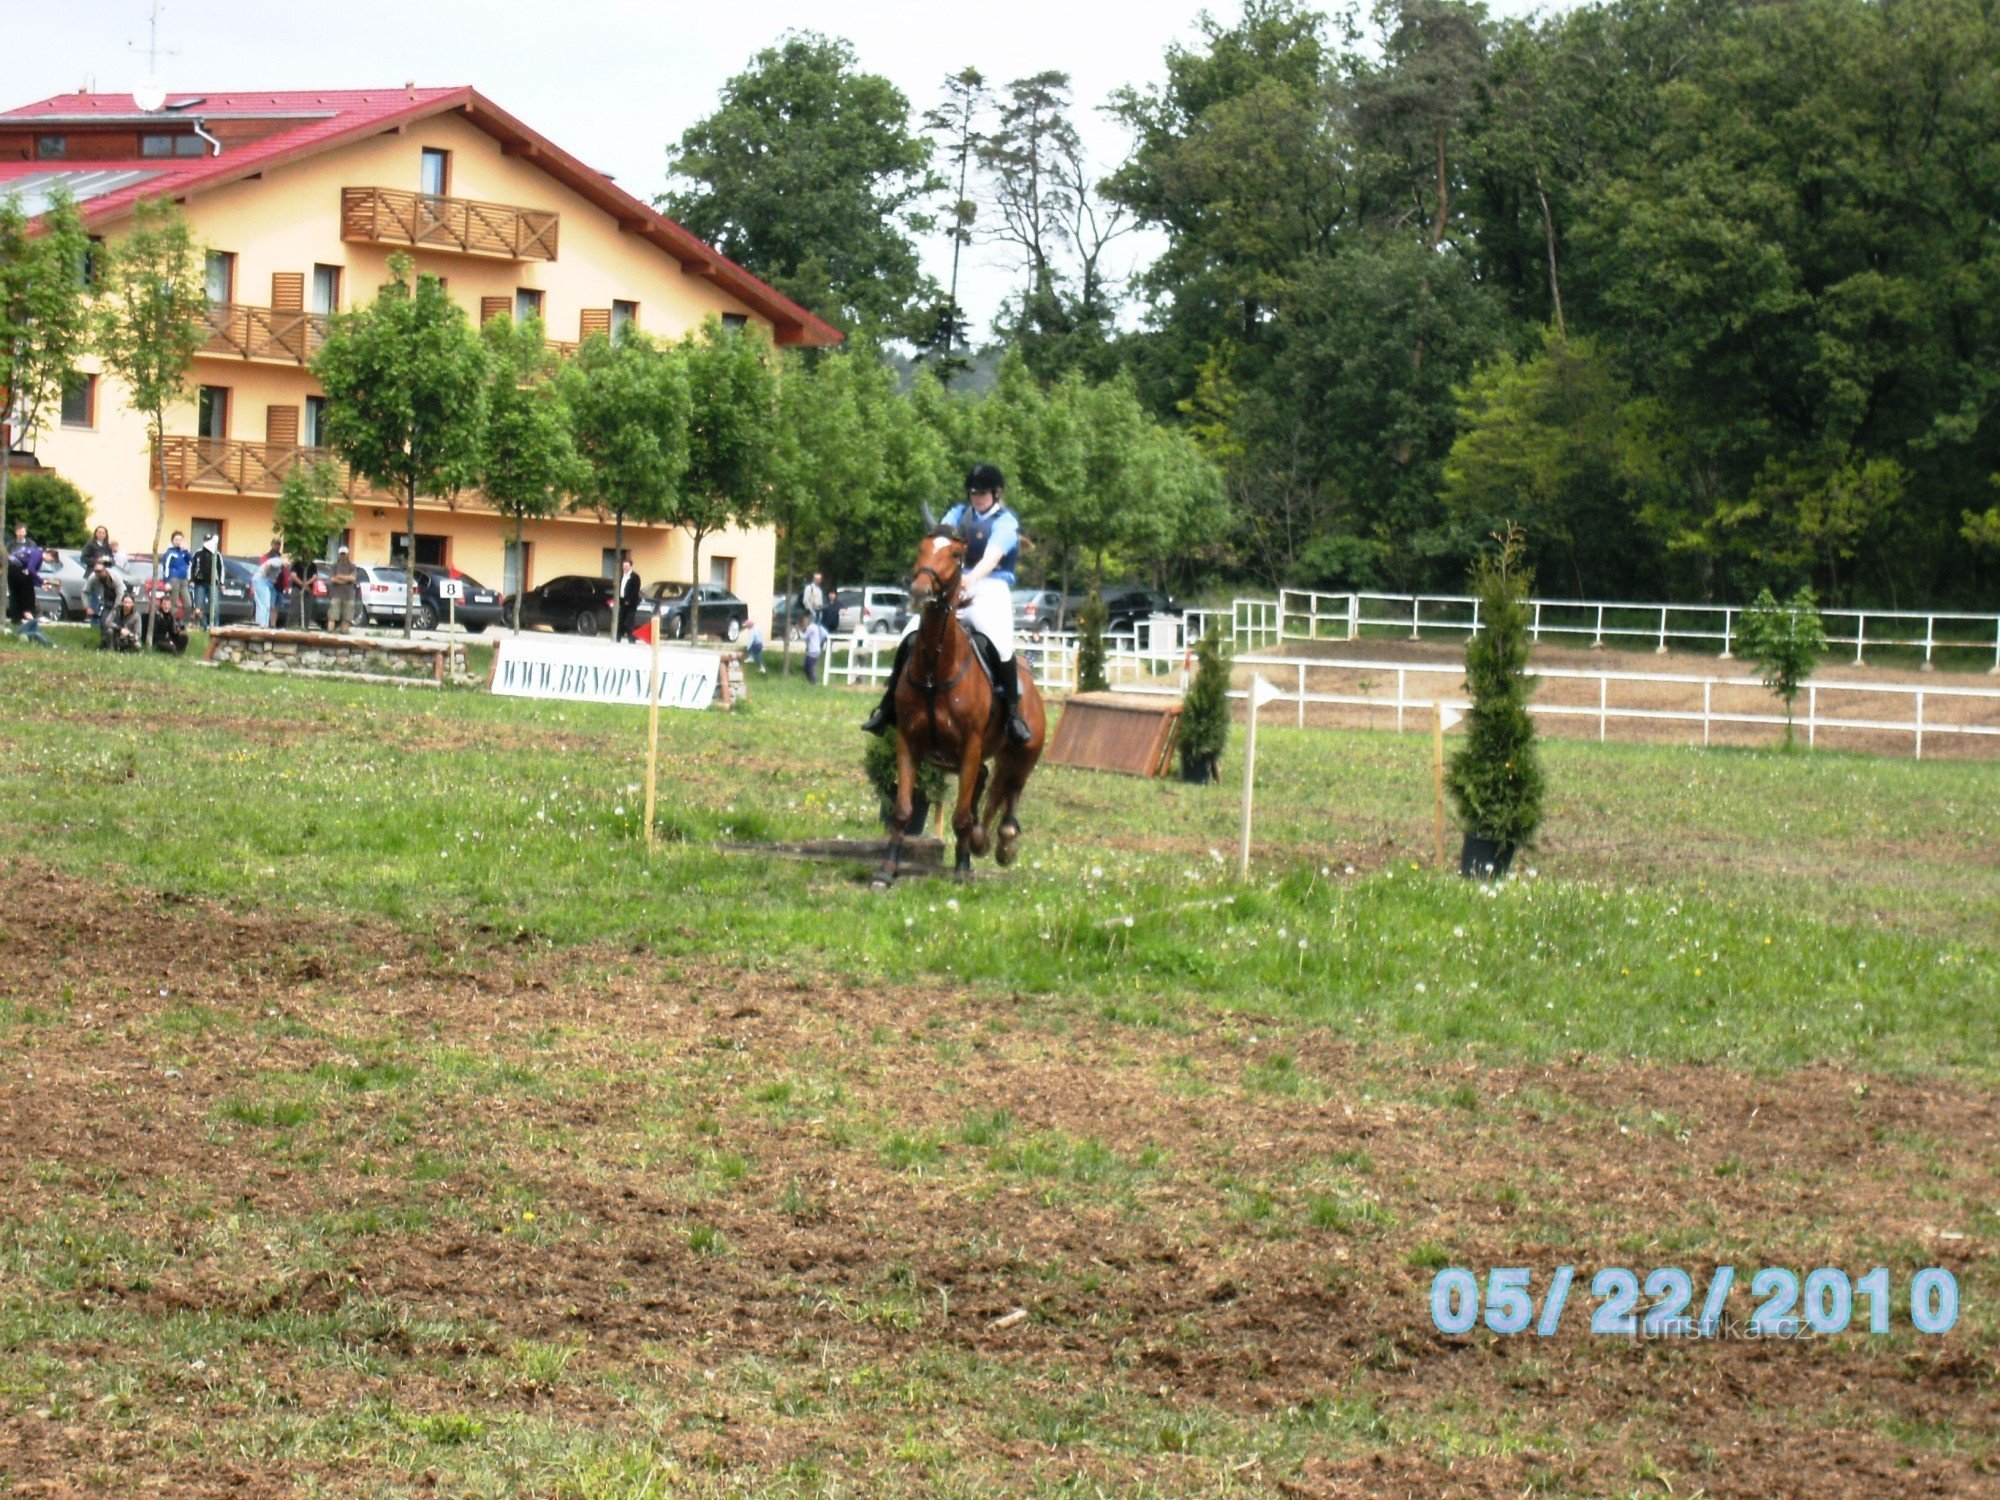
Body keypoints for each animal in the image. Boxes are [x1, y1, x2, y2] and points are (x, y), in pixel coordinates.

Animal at [884, 532, 1056, 888]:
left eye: (954, 554)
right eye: (922, 548)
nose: (920, 589)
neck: (935, 669)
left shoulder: (970, 746)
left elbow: (962, 815)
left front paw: (962, 869)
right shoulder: (908, 742)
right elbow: (903, 811)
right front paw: (887, 870)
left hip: (1024, 753)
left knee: (1011, 792)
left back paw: (1002, 843)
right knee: (986, 781)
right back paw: (980, 839)